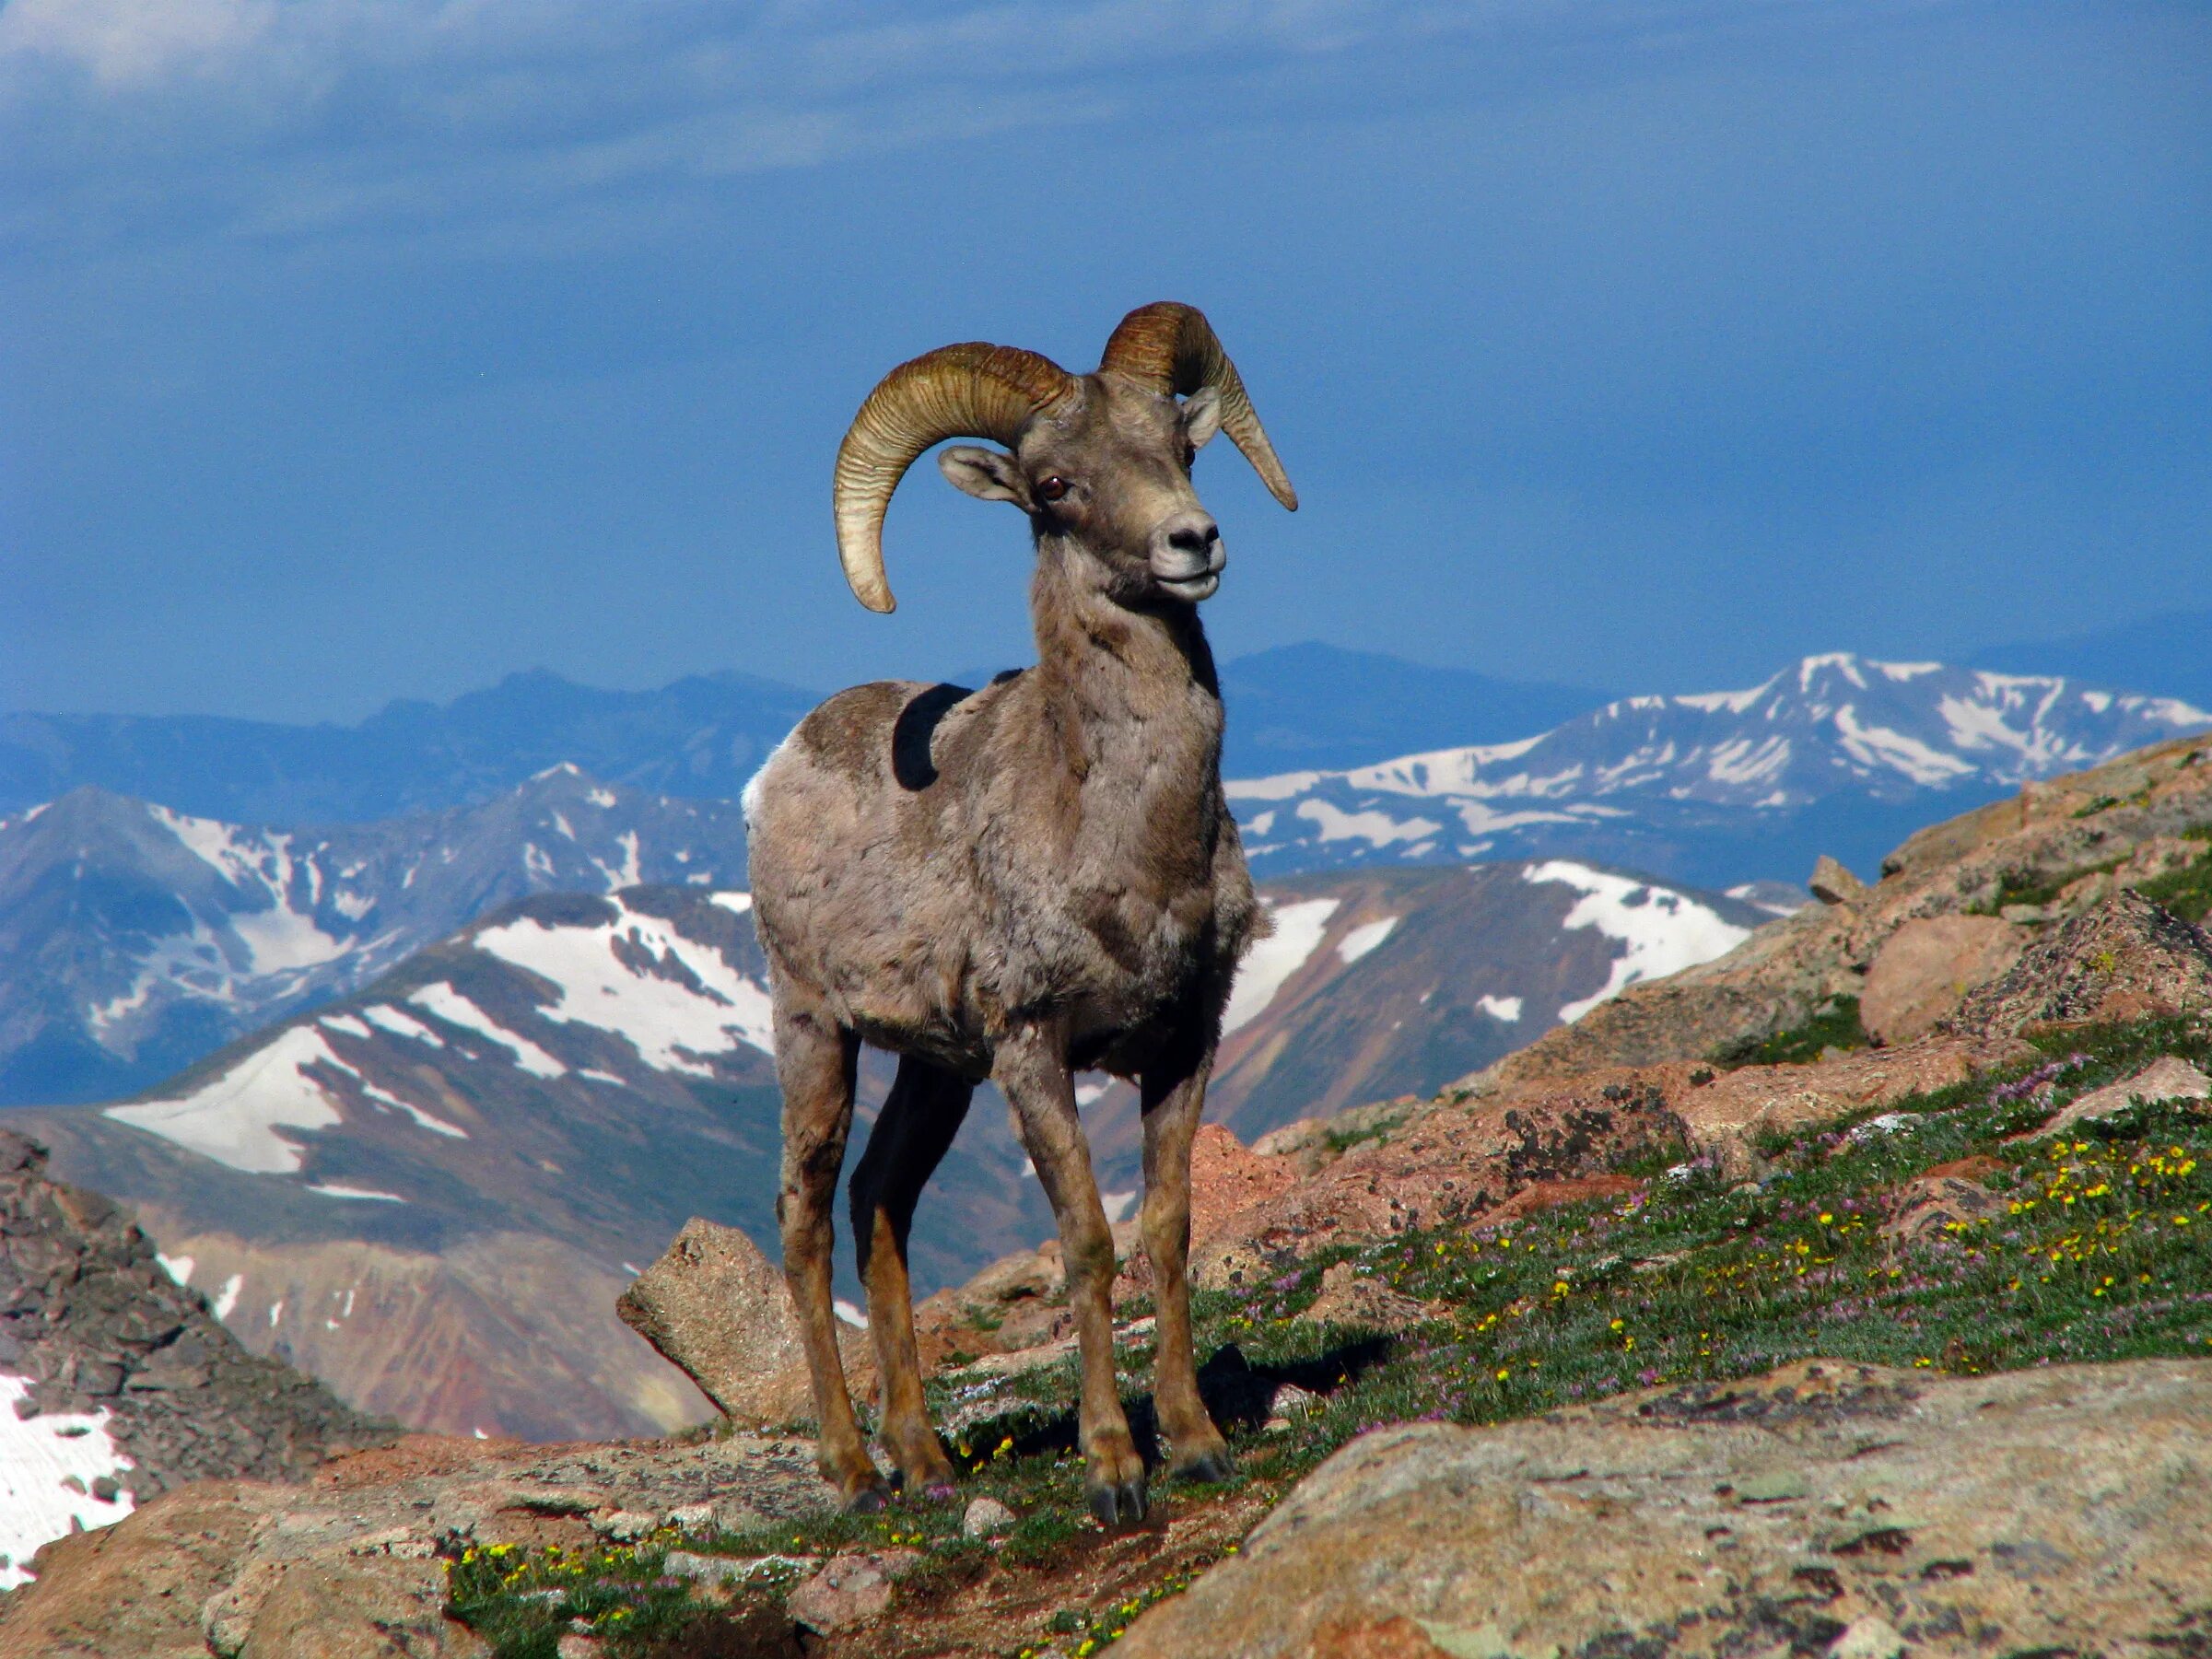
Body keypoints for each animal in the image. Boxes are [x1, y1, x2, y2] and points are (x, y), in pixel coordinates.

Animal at [743, 302, 1292, 1530]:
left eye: (1178, 445)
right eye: (1053, 484)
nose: (1194, 542)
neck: (1121, 841)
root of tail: (777, 767)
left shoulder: (1184, 1043)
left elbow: (1168, 1230)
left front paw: (1194, 1441)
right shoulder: (1033, 1050)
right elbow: (1084, 1241)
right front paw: (1114, 1470)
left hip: (935, 1068)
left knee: (879, 1201)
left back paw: (927, 1460)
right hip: (816, 1032)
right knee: (806, 1218)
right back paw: (856, 1473)